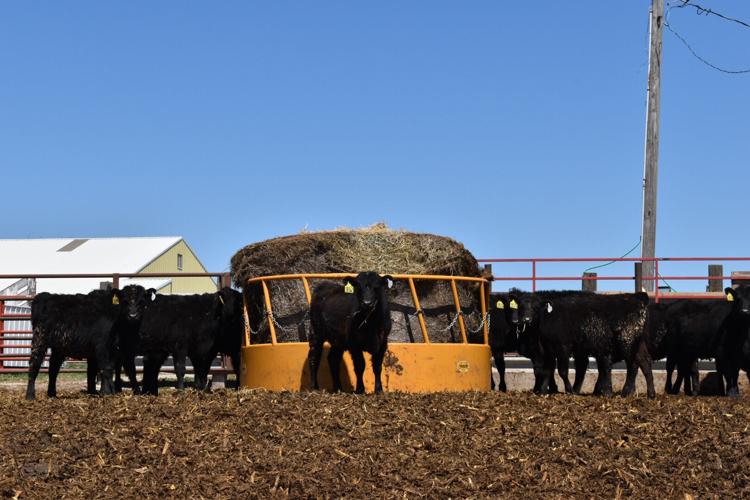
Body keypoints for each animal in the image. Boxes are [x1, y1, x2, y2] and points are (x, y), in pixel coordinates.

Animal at [25, 285, 154, 400]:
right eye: (124, 301)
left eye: (142, 301)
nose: (133, 315)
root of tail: (44, 296)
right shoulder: (102, 346)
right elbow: (105, 369)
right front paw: (106, 393)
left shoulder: (118, 350)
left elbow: (112, 370)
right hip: (39, 340)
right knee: (34, 365)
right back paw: (30, 396)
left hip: (59, 347)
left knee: (53, 369)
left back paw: (52, 394)